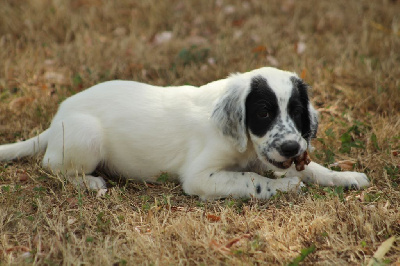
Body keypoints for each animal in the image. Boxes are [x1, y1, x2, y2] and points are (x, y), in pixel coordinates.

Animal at [0, 66, 368, 200]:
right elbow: (250, 180)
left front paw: (346, 176)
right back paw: (89, 182)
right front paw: (286, 186)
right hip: (86, 138)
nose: (292, 147)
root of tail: (54, 121)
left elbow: (315, 168)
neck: (245, 146)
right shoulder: (200, 176)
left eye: (296, 112)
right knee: (53, 168)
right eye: (263, 113)